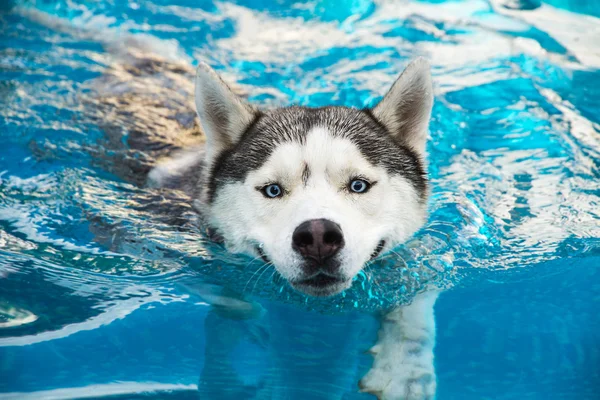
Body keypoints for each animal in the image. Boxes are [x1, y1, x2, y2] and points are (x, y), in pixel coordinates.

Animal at [145, 57, 436, 398]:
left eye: (358, 185)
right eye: (272, 190)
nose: (318, 236)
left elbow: (413, 309)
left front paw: (406, 371)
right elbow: (230, 308)